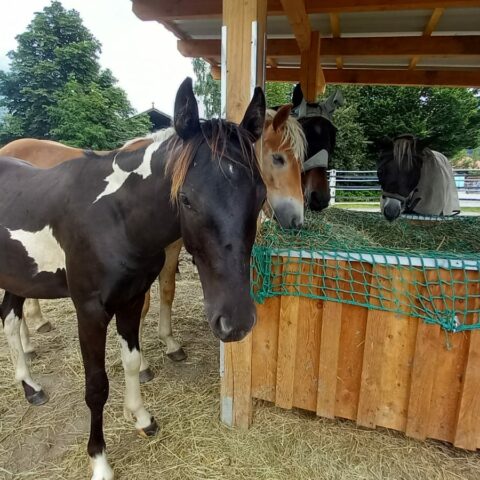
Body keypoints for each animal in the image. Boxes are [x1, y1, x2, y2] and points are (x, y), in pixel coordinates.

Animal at [0, 77, 268, 478]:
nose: (235, 322)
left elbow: (130, 361)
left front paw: (141, 418)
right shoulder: (90, 312)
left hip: (19, 277)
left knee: (10, 322)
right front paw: (99, 461)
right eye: (186, 199)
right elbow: (96, 386)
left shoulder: (132, 298)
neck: (115, 216)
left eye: (260, 195)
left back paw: (30, 387)